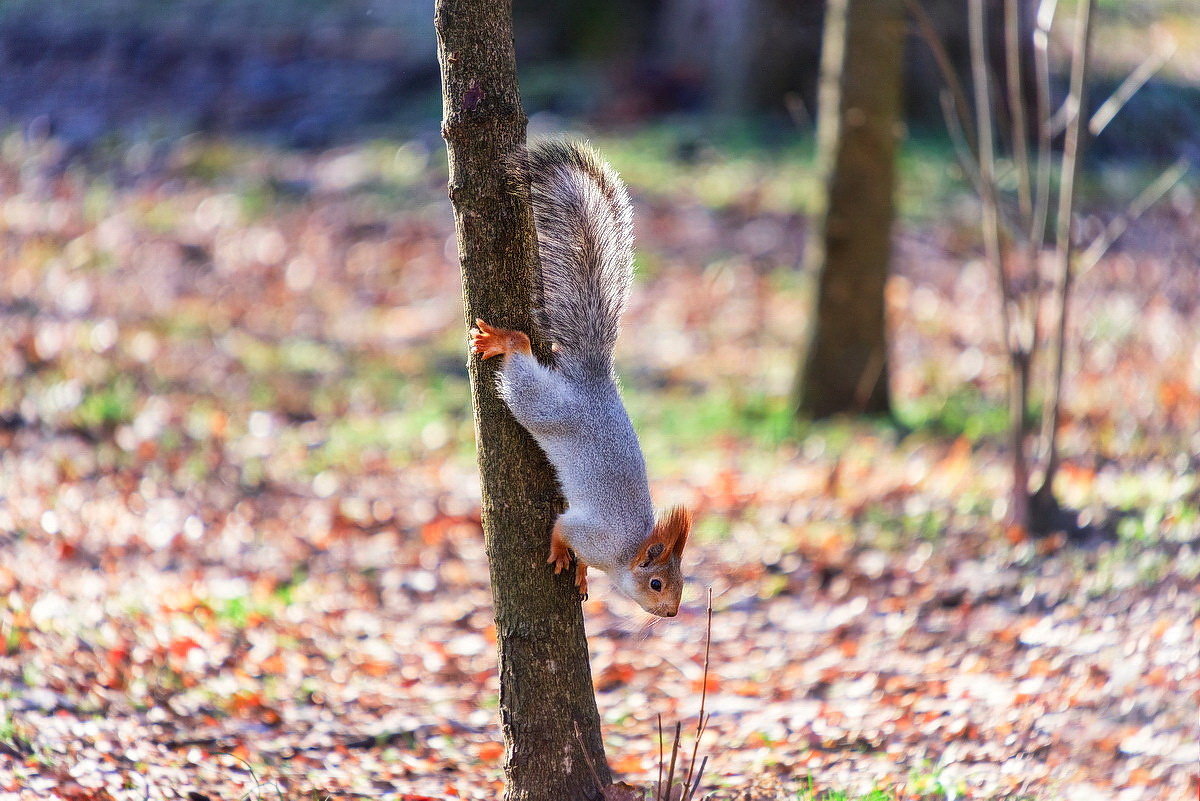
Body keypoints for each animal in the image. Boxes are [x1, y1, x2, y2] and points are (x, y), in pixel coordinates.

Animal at [470, 142, 691, 618]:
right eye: (657, 583)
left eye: (681, 584)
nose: (671, 612)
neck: (625, 553)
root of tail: (592, 378)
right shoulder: (589, 531)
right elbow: (561, 526)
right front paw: (561, 554)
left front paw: (584, 575)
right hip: (545, 406)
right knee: (521, 367)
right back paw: (506, 340)